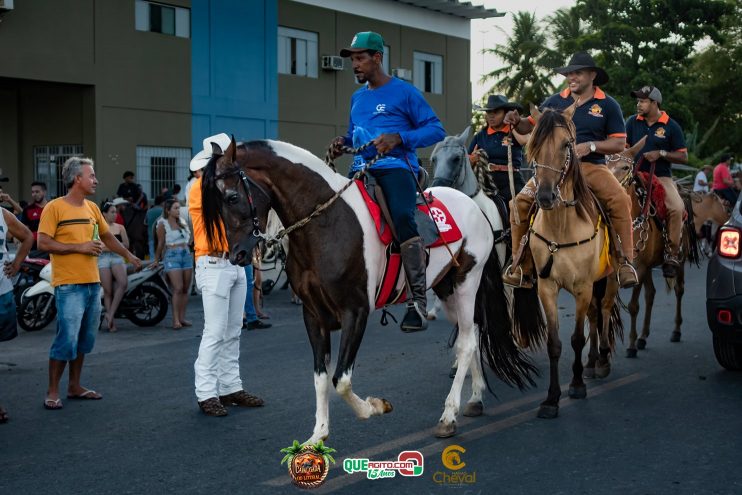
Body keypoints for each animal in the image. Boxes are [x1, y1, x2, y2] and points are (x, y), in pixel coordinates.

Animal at [203, 137, 540, 442]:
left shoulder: (356, 312)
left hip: (467, 281)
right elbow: (321, 378)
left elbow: (341, 380)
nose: (238, 255)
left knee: (468, 342)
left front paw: (375, 407)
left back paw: (448, 415)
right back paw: (475, 397)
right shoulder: (313, 315)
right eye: (215, 202)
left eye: (231, 197)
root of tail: (476, 207)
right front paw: (318, 436)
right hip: (447, 288)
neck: (326, 222)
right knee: (472, 334)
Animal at [508, 106, 624, 420]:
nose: (545, 196)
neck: (561, 225)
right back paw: (593, 361)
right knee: (595, 316)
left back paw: (603, 360)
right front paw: (551, 398)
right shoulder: (547, 287)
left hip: (608, 278)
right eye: (533, 145)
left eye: (567, 145)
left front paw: (577, 385)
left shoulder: (583, 286)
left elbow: (576, 338)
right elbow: (555, 343)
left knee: (603, 310)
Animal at [604, 140, 704, 356]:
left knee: (679, 290)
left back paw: (675, 330)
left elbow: (633, 305)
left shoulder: (639, 268)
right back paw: (643, 337)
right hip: (649, 267)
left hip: (679, 259)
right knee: (651, 294)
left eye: (626, 167)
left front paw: (631, 346)